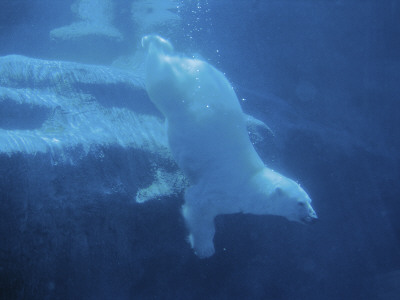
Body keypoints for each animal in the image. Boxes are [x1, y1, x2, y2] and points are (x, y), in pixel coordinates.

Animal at [142, 34, 318, 256]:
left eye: (310, 200)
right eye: (300, 203)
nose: (314, 218)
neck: (252, 182)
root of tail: (196, 63)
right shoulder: (221, 189)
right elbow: (198, 206)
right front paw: (205, 248)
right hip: (180, 86)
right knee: (158, 76)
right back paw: (153, 42)